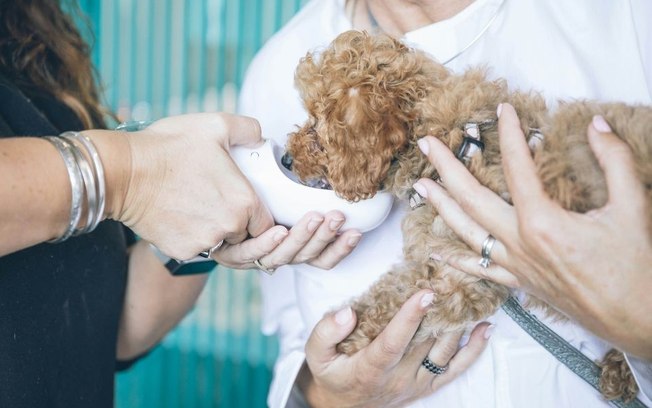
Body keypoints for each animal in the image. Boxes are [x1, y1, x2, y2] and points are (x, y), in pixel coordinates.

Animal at [282, 29, 648, 402]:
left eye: (317, 123)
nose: (285, 159)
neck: (448, 142)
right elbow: (392, 289)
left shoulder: (458, 276)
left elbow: (393, 304)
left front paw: (350, 336)